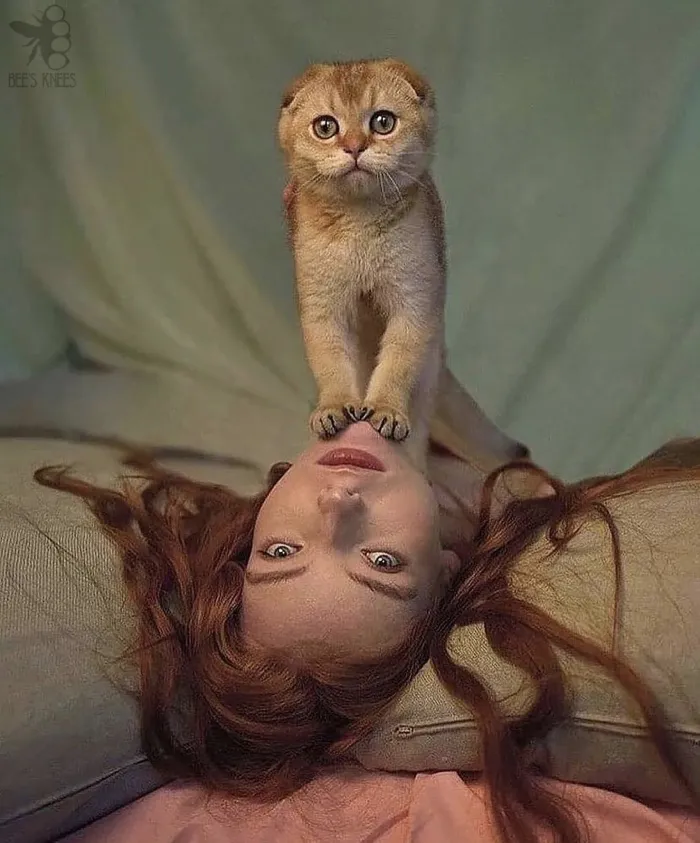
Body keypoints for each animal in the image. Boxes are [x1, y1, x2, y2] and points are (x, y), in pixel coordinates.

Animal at [279, 58, 527, 472]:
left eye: (383, 122)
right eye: (325, 127)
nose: (354, 147)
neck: (359, 229)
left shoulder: (415, 302)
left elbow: (396, 364)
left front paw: (385, 410)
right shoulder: (322, 307)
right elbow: (330, 362)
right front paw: (334, 407)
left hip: (429, 371)